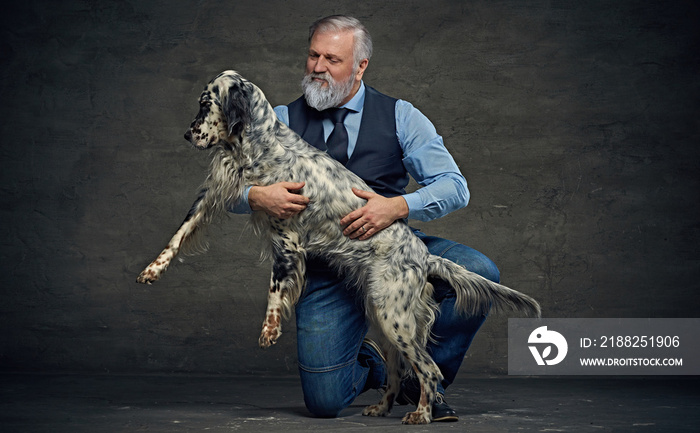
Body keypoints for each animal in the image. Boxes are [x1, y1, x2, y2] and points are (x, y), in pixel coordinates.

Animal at [137, 70, 540, 422]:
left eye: (206, 103)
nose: (186, 134)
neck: (260, 145)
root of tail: (422, 255)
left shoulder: (287, 237)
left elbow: (274, 288)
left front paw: (269, 329)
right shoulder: (217, 193)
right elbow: (179, 234)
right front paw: (152, 270)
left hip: (395, 317)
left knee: (428, 367)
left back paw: (423, 414)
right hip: (383, 316)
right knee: (396, 368)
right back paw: (382, 406)